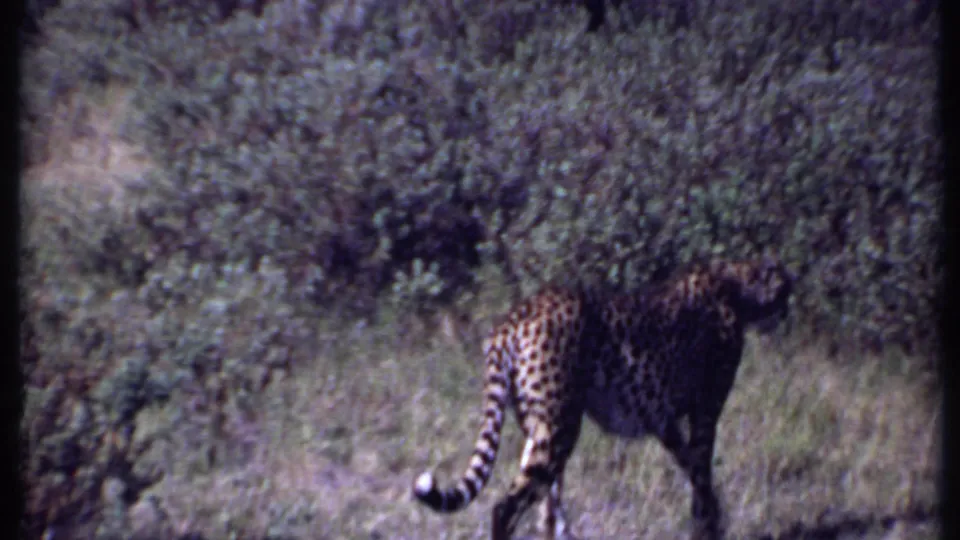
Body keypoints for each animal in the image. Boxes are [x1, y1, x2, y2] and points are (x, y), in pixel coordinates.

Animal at [413, 256, 795, 540]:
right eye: (781, 280)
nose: (790, 293)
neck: (735, 284)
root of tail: (513, 316)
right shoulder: (704, 411)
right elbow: (701, 472)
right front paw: (709, 526)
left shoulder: (663, 421)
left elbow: (693, 468)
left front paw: (713, 515)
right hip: (560, 427)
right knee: (506, 508)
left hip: (540, 427)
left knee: (546, 509)